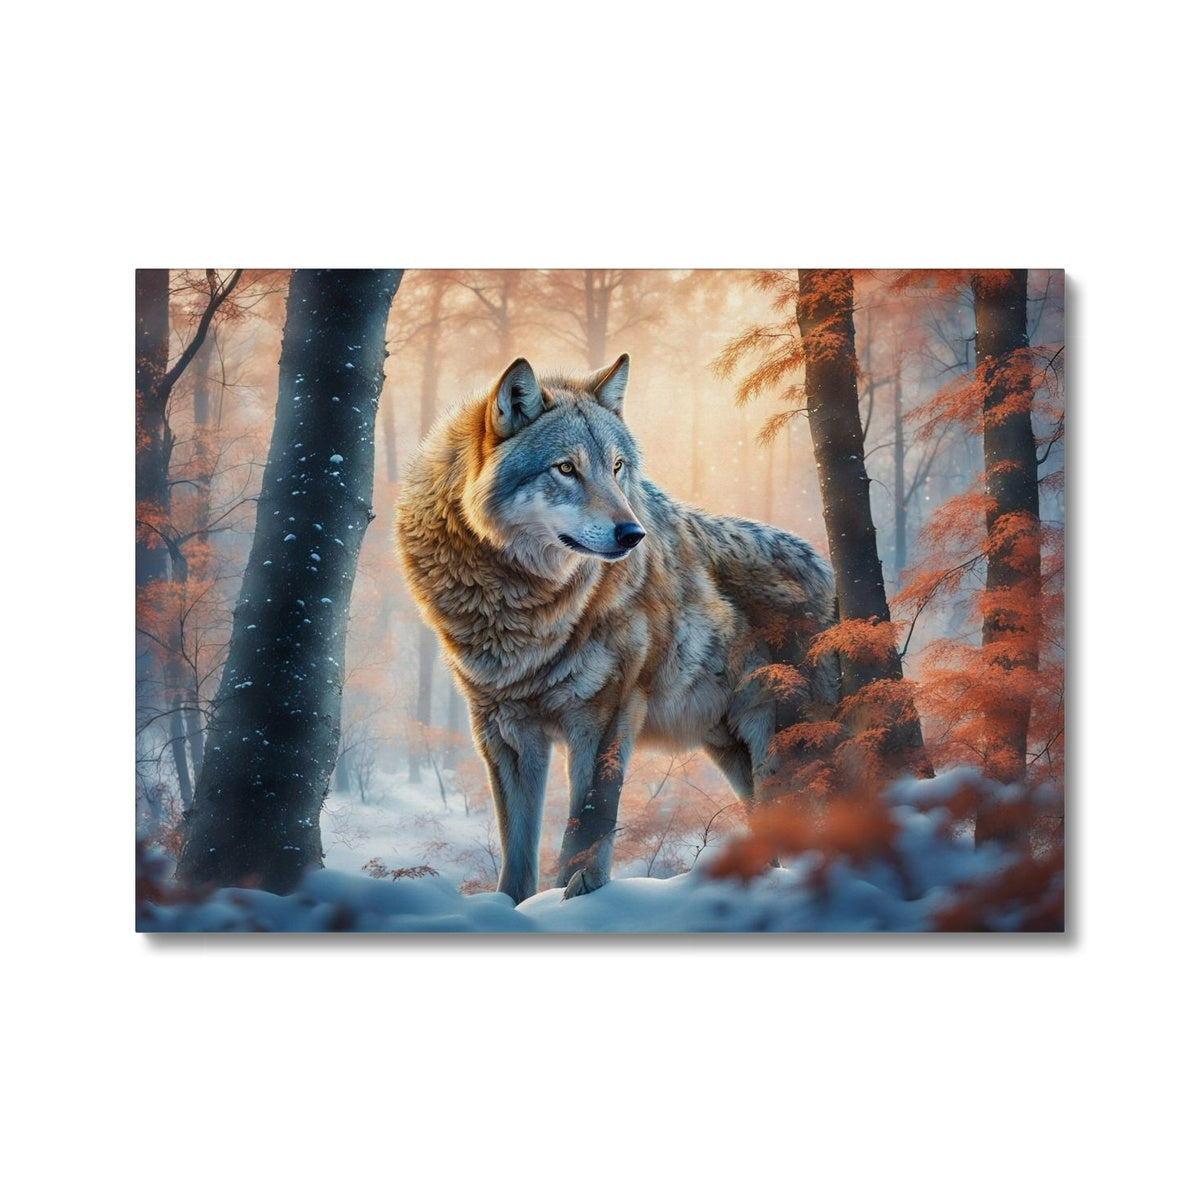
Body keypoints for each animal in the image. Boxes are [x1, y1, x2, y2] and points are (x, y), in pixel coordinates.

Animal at [395, 354, 837, 903]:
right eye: (566, 467)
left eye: (617, 467)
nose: (633, 534)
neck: (522, 607)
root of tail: (828, 574)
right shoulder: (504, 732)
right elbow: (517, 855)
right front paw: (513, 907)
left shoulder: (606, 713)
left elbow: (588, 826)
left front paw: (577, 898)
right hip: (734, 755)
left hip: (790, 755)